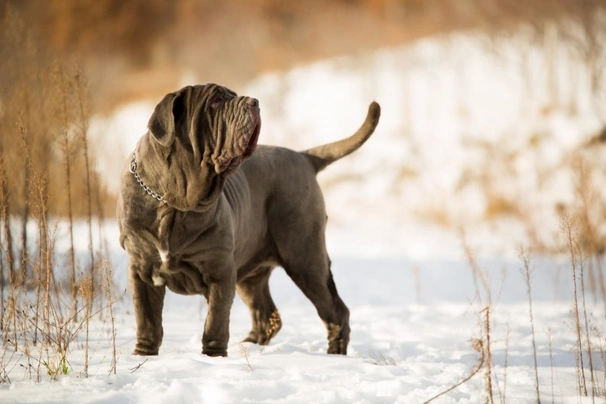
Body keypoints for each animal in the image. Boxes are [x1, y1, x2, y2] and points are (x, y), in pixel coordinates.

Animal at [117, 83, 382, 356]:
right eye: (215, 101)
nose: (253, 102)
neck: (175, 202)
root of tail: (304, 157)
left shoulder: (220, 272)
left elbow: (215, 321)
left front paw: (213, 357)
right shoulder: (141, 271)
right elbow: (146, 320)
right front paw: (144, 355)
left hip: (305, 259)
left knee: (336, 310)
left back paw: (335, 354)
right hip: (252, 273)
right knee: (267, 314)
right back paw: (248, 346)